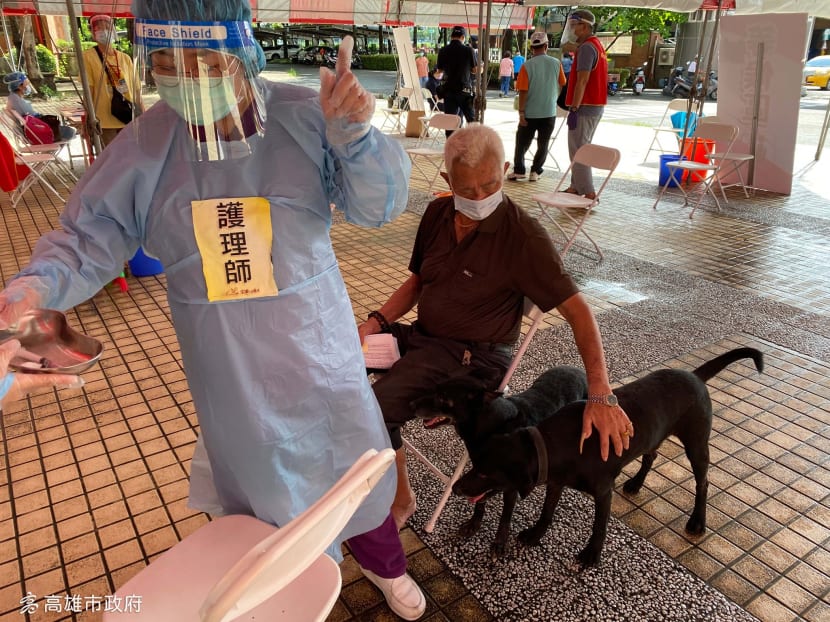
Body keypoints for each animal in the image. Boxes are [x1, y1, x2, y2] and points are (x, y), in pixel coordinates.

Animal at [456, 348, 768, 568]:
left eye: (485, 472)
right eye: (474, 464)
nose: (456, 487)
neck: (554, 444)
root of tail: (694, 376)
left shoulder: (603, 492)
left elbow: (599, 526)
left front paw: (591, 555)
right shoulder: (555, 481)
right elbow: (547, 511)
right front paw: (535, 534)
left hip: (697, 444)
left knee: (703, 482)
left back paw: (697, 521)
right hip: (653, 435)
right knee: (651, 456)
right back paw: (637, 483)